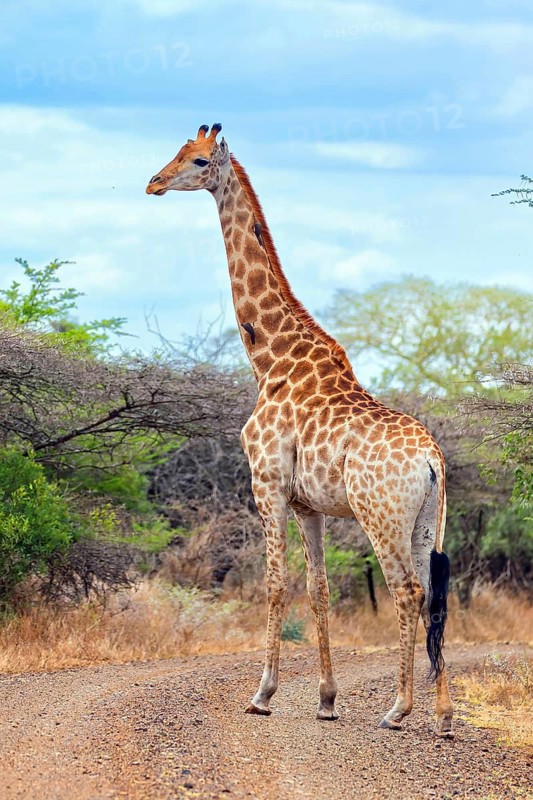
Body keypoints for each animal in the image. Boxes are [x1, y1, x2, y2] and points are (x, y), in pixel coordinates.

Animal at [146, 123, 454, 737]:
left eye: (197, 160)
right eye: (175, 151)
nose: (154, 182)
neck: (269, 358)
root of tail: (432, 459)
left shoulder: (265, 483)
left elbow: (274, 583)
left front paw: (262, 694)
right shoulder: (307, 503)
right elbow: (318, 588)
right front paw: (327, 699)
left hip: (380, 515)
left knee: (407, 590)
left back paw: (398, 709)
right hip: (427, 521)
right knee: (432, 593)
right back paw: (443, 713)